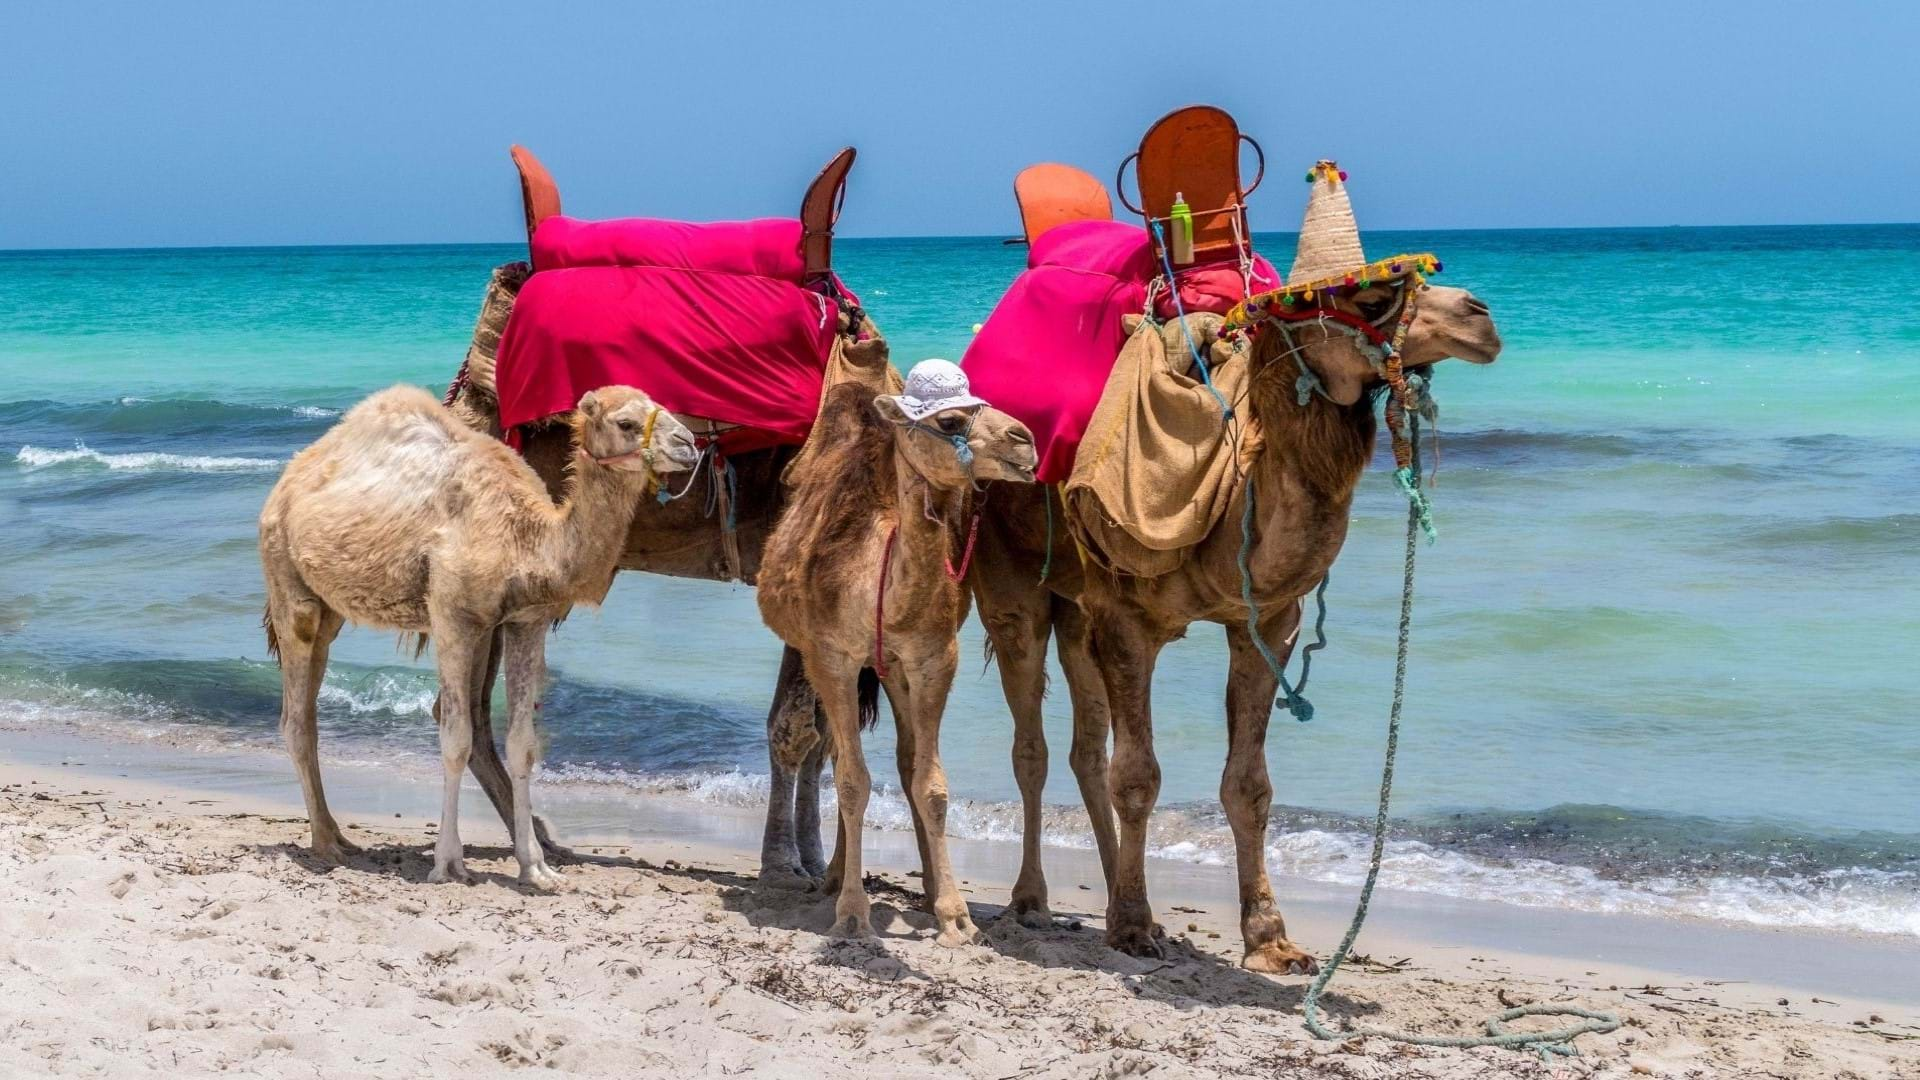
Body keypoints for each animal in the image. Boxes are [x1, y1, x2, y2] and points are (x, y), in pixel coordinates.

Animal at [261, 382, 698, 887]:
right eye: (626, 423)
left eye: (665, 407)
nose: (689, 443)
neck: (527, 540)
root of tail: (287, 482)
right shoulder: (452, 615)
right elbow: (456, 738)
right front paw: (448, 862)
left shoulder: (525, 620)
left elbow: (523, 745)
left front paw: (537, 867)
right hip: (287, 578)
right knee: (297, 716)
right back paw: (325, 844)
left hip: (330, 607)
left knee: (311, 704)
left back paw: (338, 834)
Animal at [756, 363, 1044, 941]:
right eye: (950, 420)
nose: (1024, 440)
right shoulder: (832, 658)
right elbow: (851, 781)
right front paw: (852, 913)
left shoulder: (932, 659)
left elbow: (930, 783)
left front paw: (956, 916)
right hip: (834, 661)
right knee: (841, 756)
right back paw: (833, 880)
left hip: (890, 669)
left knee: (901, 757)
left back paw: (919, 887)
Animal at [975, 176, 1497, 968]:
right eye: (1373, 295)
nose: (1482, 317)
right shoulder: (1127, 619)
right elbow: (1140, 774)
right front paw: (1133, 928)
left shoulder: (1268, 620)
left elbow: (1247, 784)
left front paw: (1270, 940)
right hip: (1013, 590)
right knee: (1031, 745)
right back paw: (1033, 901)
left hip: (1075, 610)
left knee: (1084, 748)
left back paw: (1116, 894)